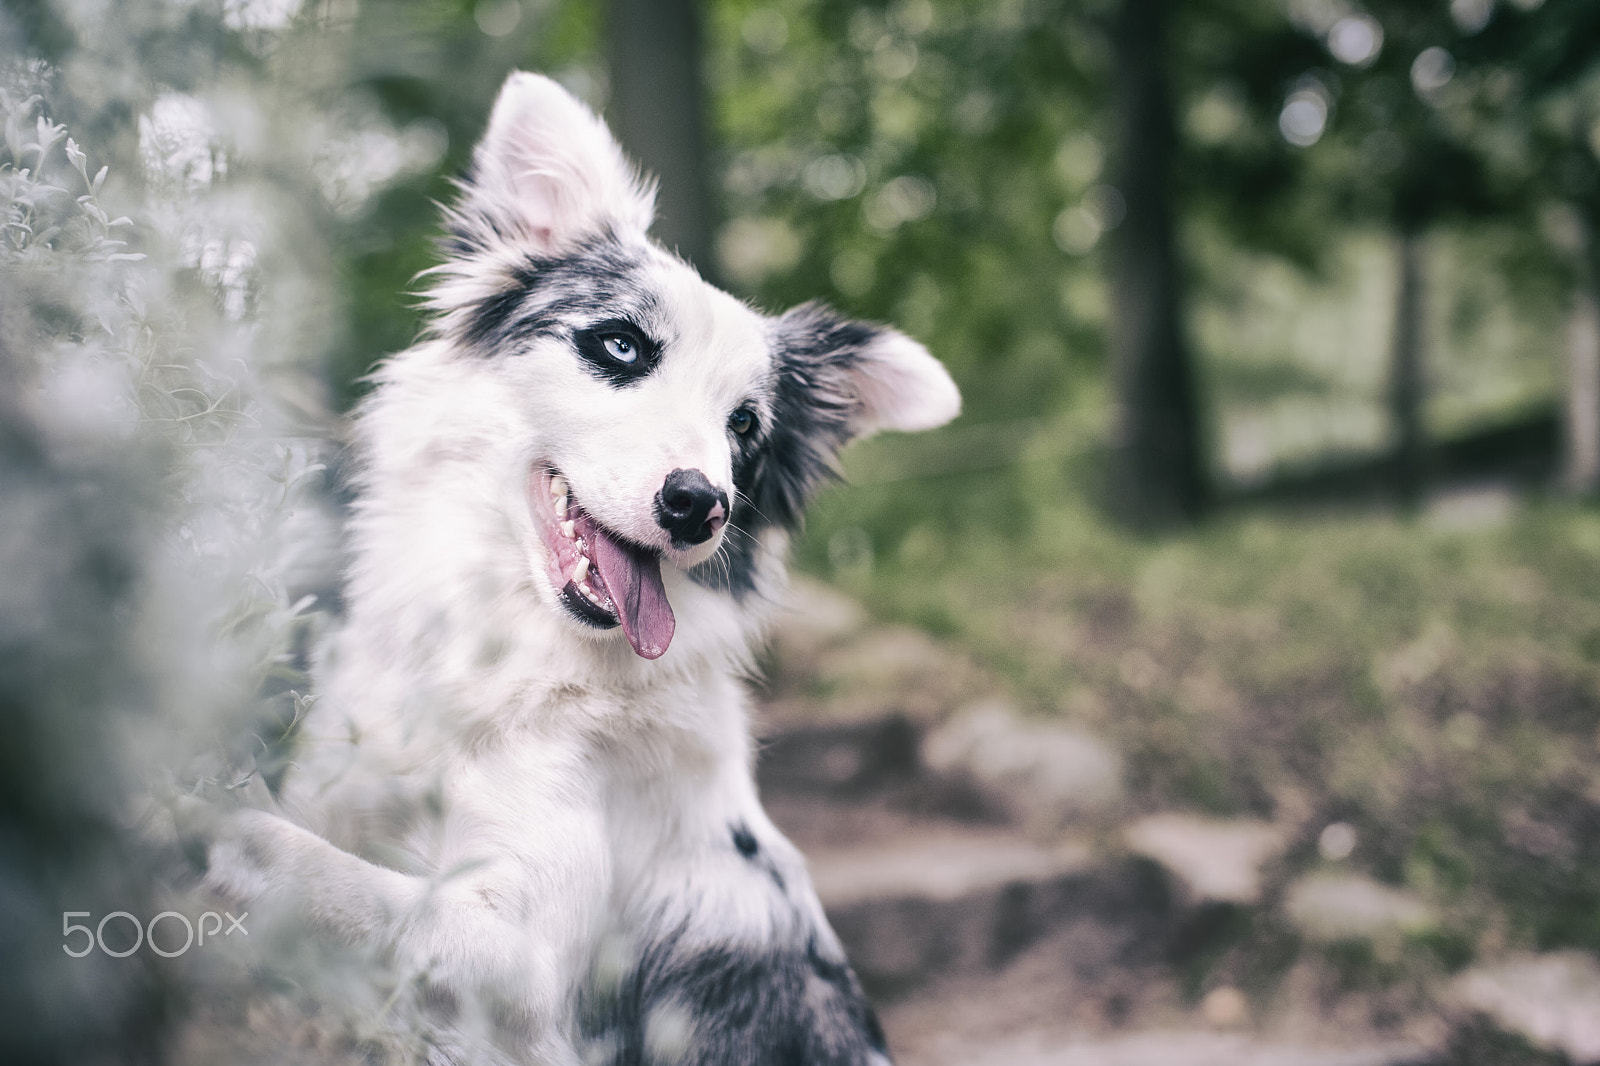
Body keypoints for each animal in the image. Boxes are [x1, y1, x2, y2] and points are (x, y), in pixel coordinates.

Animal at [206, 70, 960, 1056]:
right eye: (622, 345)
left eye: (744, 427)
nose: (700, 504)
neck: (511, 648)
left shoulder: (513, 958)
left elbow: (316, 870)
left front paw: (194, 826)